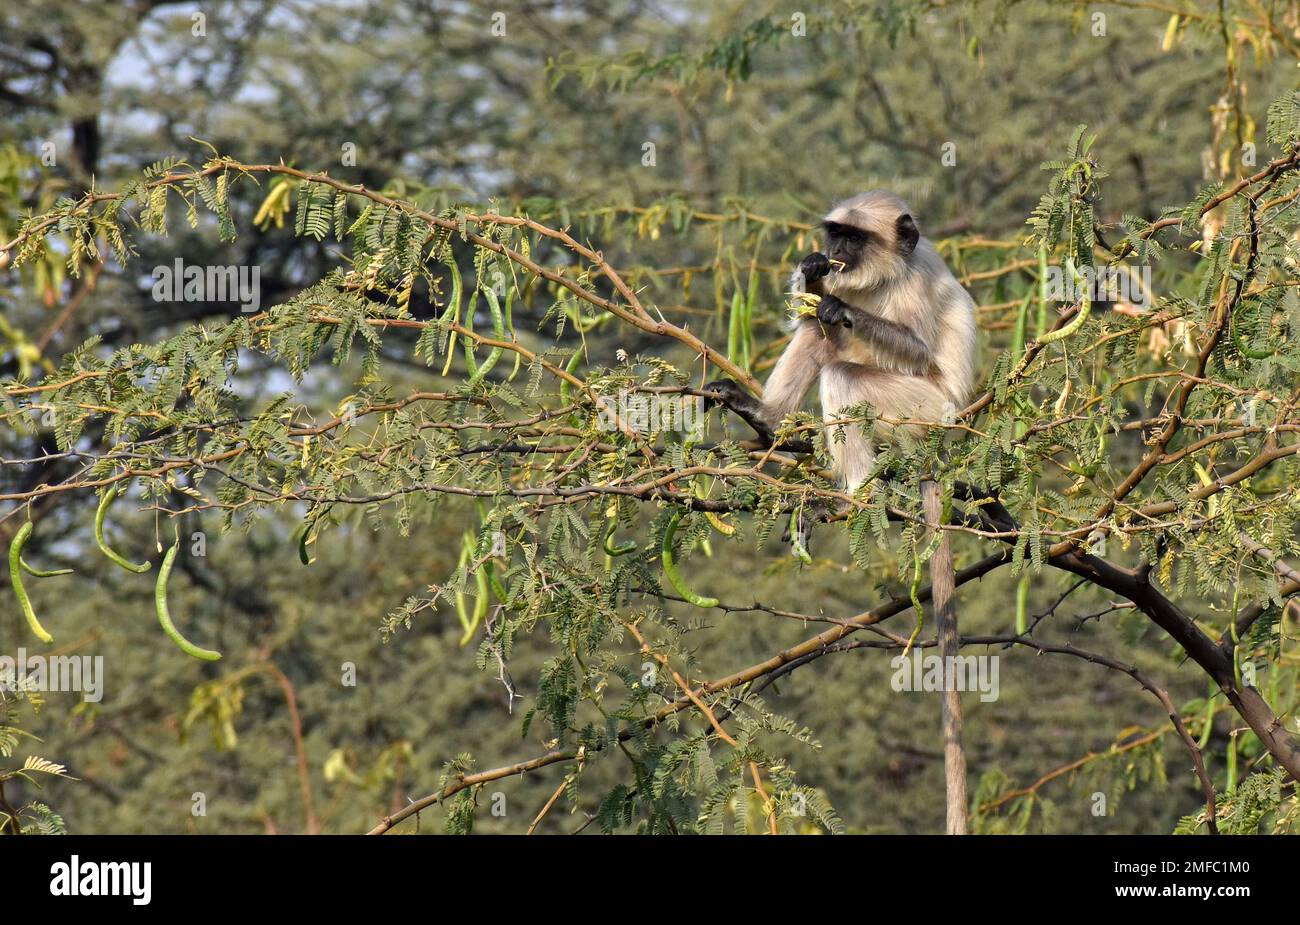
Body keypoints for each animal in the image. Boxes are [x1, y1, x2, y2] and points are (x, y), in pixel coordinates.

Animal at [712, 189, 977, 491]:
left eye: (853, 238)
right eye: (836, 235)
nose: (835, 252)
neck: (888, 271)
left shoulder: (917, 277)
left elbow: (919, 352)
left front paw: (840, 308)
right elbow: (810, 313)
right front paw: (812, 269)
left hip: (927, 409)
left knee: (841, 375)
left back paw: (860, 492)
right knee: (816, 328)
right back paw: (768, 415)